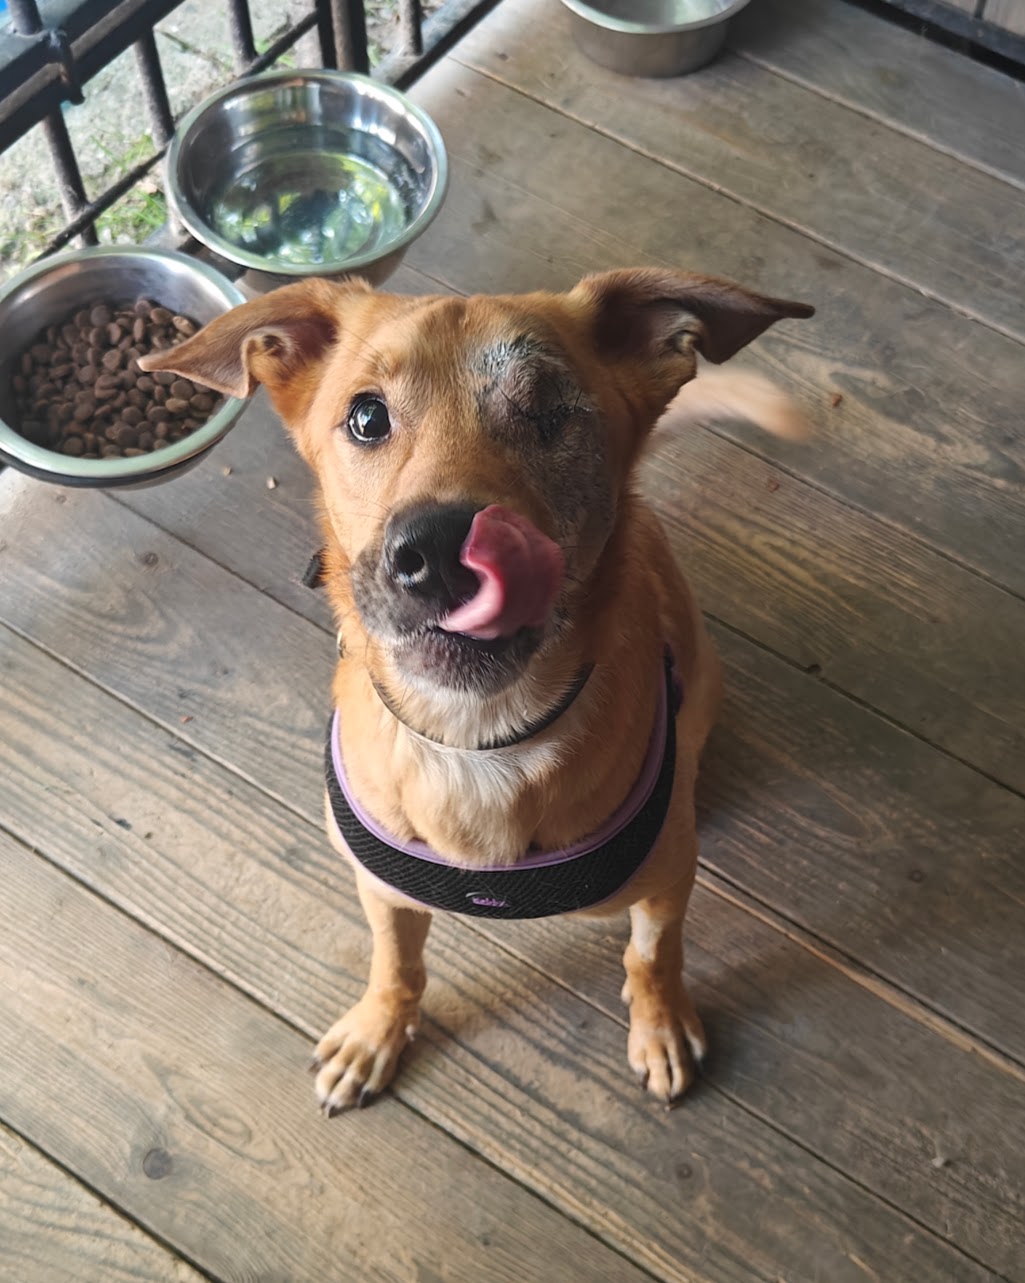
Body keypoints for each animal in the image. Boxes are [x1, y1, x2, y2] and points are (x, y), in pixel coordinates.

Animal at [140, 267, 813, 1113]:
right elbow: (395, 964)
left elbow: (653, 956)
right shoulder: (382, 892)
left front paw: (658, 1023)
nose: (436, 551)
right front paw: (375, 1032)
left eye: (551, 412)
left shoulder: (664, 885)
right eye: (366, 416)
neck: (478, 735)